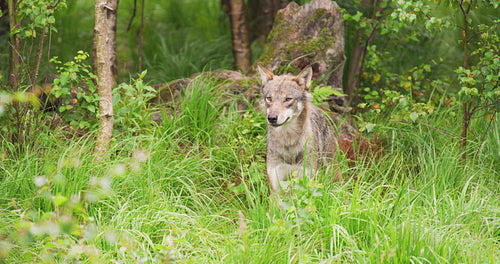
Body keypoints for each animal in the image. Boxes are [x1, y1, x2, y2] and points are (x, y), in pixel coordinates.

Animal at [258, 63, 336, 192]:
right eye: (269, 98)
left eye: (288, 99)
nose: (272, 118)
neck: (288, 141)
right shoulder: (275, 188)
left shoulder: (307, 183)